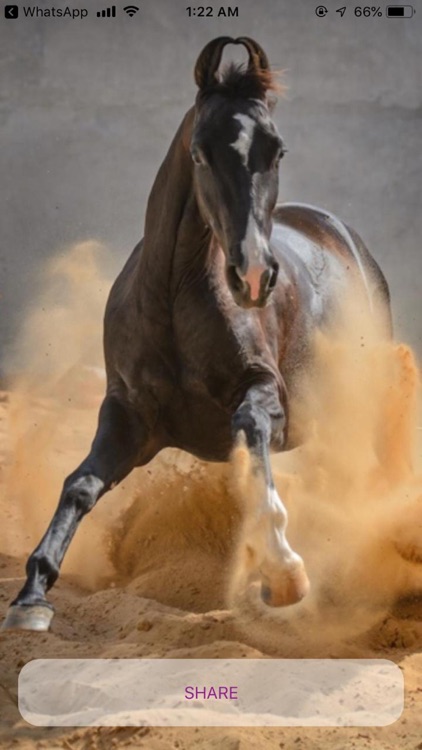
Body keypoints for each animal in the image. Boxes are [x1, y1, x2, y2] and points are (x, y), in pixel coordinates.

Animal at [2, 36, 392, 631]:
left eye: (276, 151)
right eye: (201, 153)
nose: (253, 275)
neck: (172, 300)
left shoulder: (267, 396)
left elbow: (251, 433)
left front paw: (283, 572)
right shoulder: (131, 416)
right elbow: (80, 485)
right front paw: (32, 597)